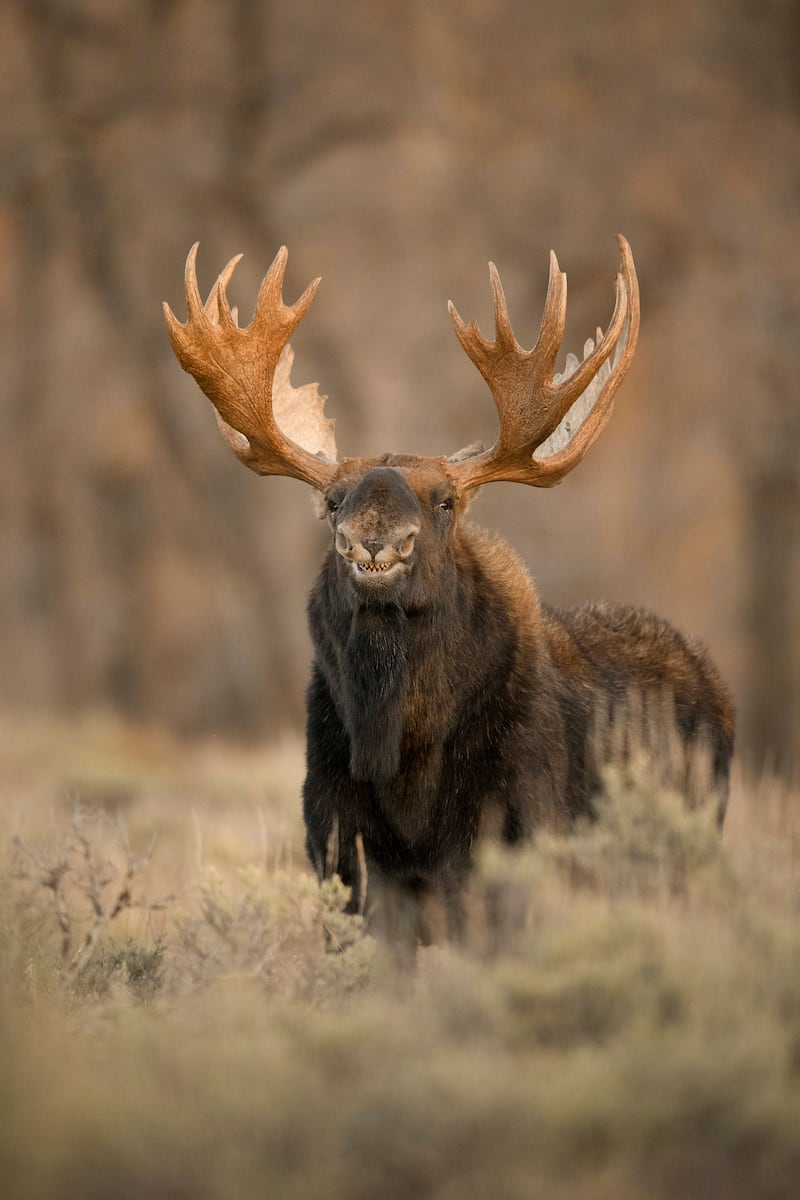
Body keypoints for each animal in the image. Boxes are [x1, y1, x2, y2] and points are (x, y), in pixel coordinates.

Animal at [164, 236, 738, 945]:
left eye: (445, 501)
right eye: (333, 500)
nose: (374, 540)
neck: (404, 760)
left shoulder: (513, 836)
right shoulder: (340, 852)